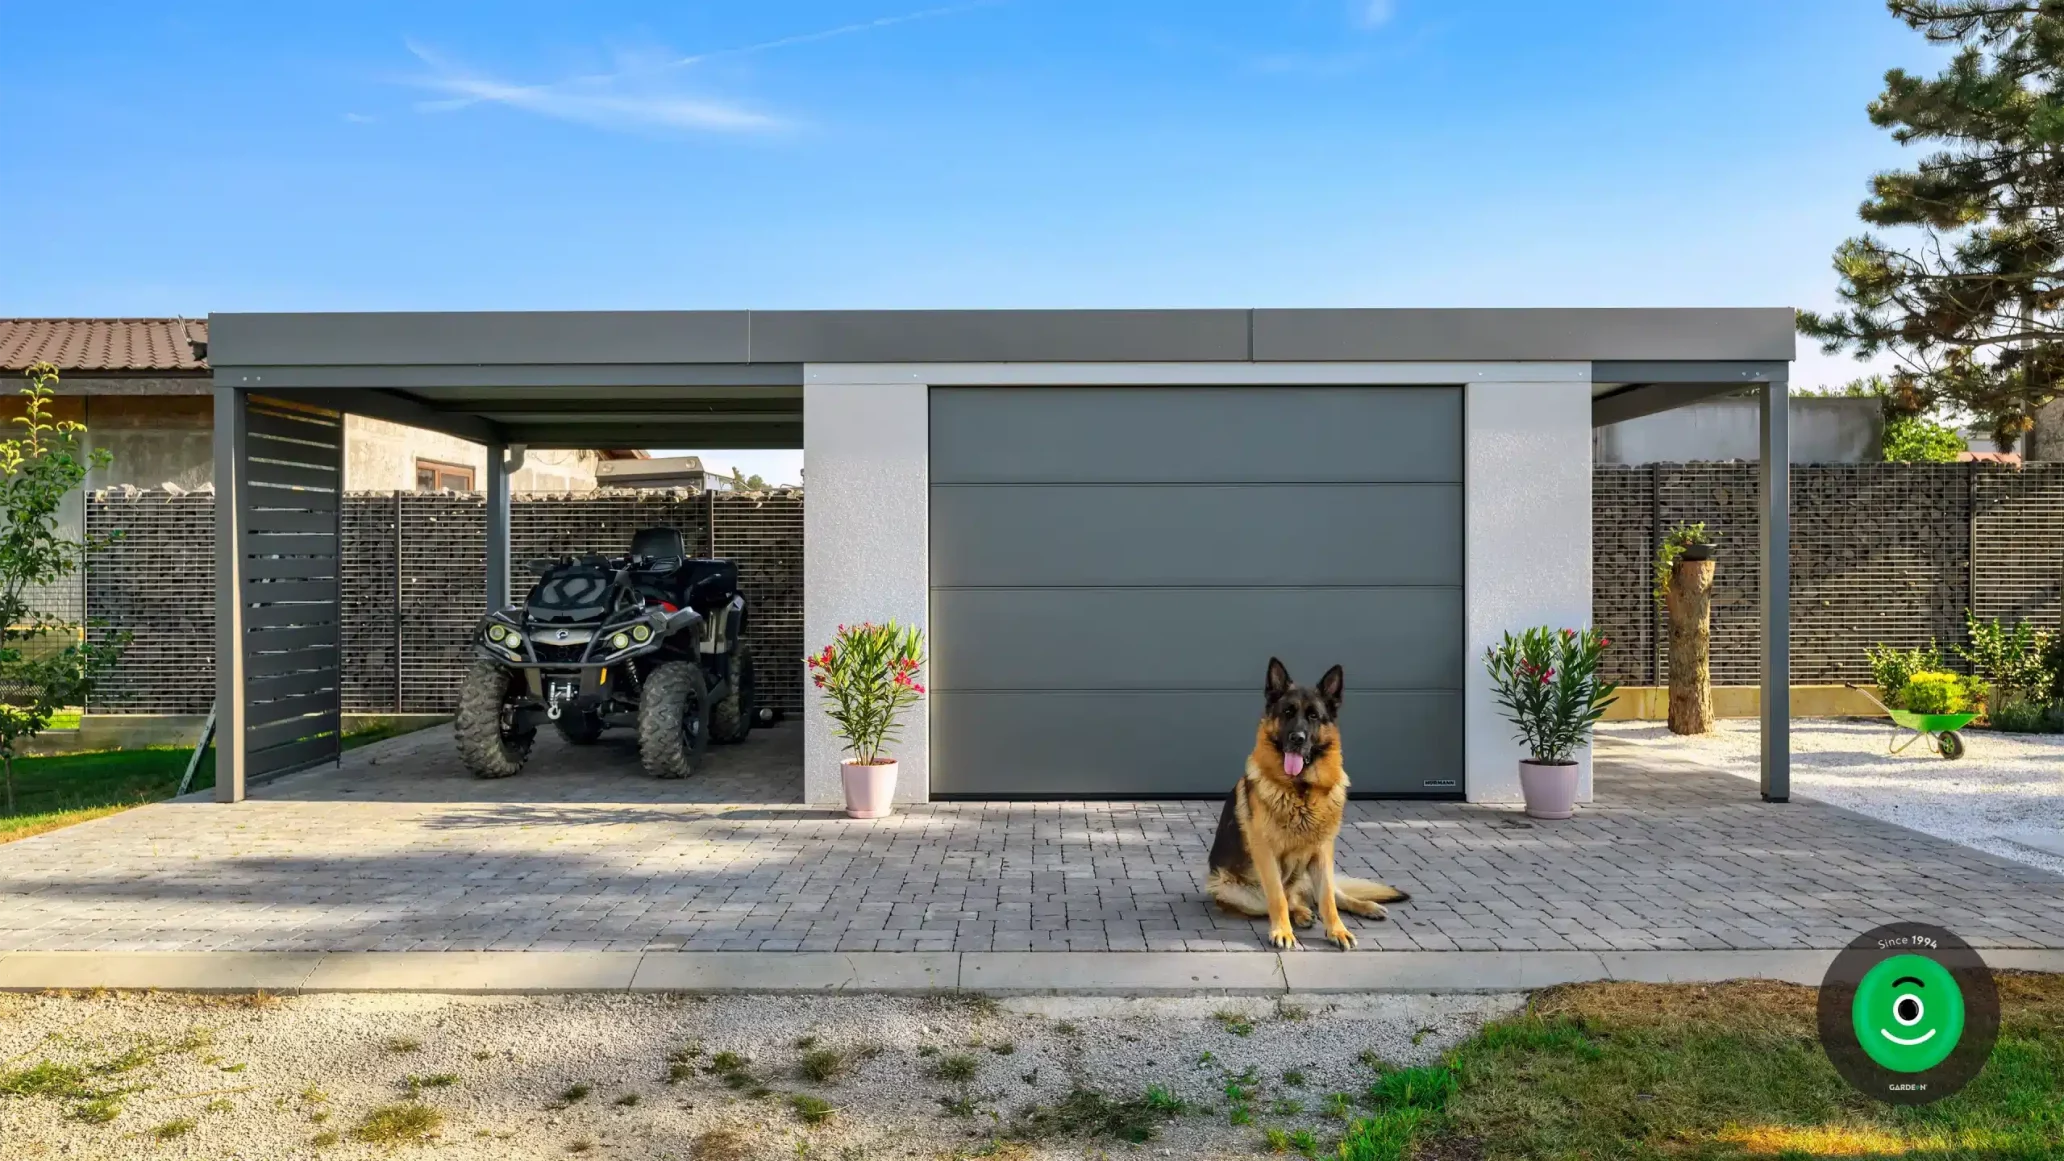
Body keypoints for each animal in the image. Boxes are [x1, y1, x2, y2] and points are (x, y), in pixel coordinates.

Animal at [1205, 656, 1411, 946]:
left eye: (1314, 716)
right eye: (1287, 712)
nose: (1297, 739)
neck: (1301, 790)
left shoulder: (1322, 852)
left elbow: (1327, 899)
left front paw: (1338, 930)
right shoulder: (1267, 854)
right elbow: (1278, 897)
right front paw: (1282, 930)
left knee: (1329, 894)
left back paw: (1365, 906)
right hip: (1233, 890)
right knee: (1287, 899)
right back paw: (1301, 914)